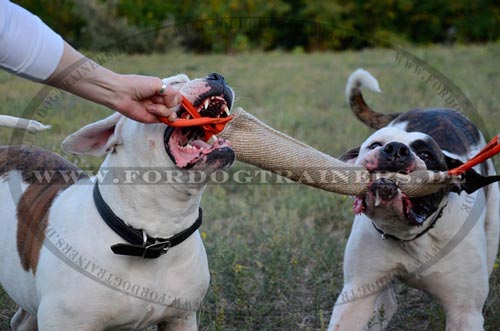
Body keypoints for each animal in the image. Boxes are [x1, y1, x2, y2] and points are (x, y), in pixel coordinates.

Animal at [328, 70, 500, 331]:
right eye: (375, 145)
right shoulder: (356, 295)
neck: (412, 237)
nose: (395, 149)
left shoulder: (465, 313)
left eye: (427, 155)